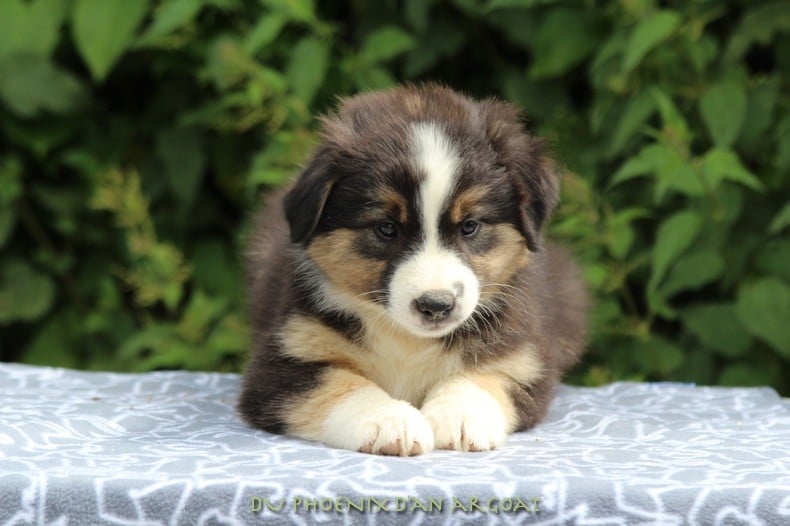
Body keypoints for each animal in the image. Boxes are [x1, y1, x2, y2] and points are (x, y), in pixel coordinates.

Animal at [238, 84, 587, 455]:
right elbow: (342, 385)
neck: (407, 339)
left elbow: (481, 377)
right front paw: (389, 421)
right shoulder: (282, 360)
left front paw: (460, 416)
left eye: (470, 226)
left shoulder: (524, 360)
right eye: (387, 228)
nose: (436, 305)